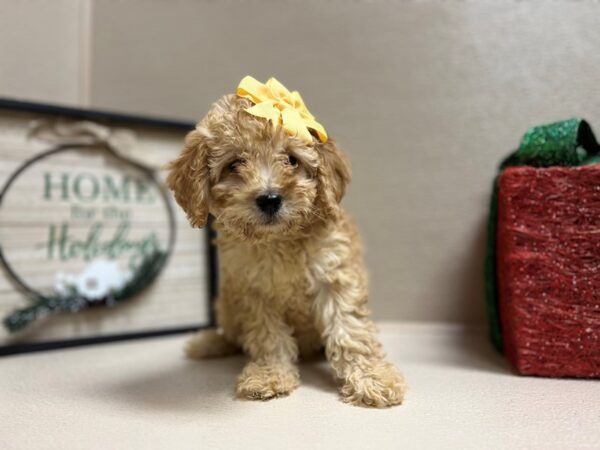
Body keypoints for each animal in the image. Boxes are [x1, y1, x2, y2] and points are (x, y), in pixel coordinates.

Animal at [166, 81, 406, 408]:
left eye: (292, 159)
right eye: (235, 164)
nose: (269, 198)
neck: (280, 238)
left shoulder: (336, 275)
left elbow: (350, 330)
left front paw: (372, 378)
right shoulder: (252, 290)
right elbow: (268, 337)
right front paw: (270, 375)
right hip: (225, 303)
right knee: (232, 335)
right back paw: (209, 342)